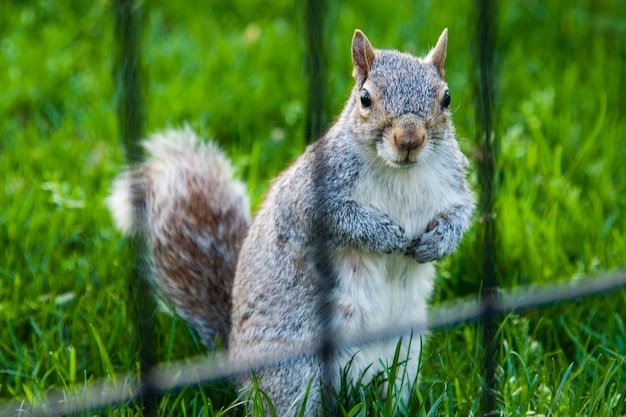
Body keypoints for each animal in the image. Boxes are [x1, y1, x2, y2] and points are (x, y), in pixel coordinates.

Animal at [107, 28, 472, 412]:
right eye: (365, 98)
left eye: (446, 98)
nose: (409, 140)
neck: (401, 173)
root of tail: (237, 364)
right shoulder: (313, 192)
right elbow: (334, 218)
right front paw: (385, 235)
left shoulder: (453, 185)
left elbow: (461, 214)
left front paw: (438, 242)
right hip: (297, 369)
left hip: (405, 354)